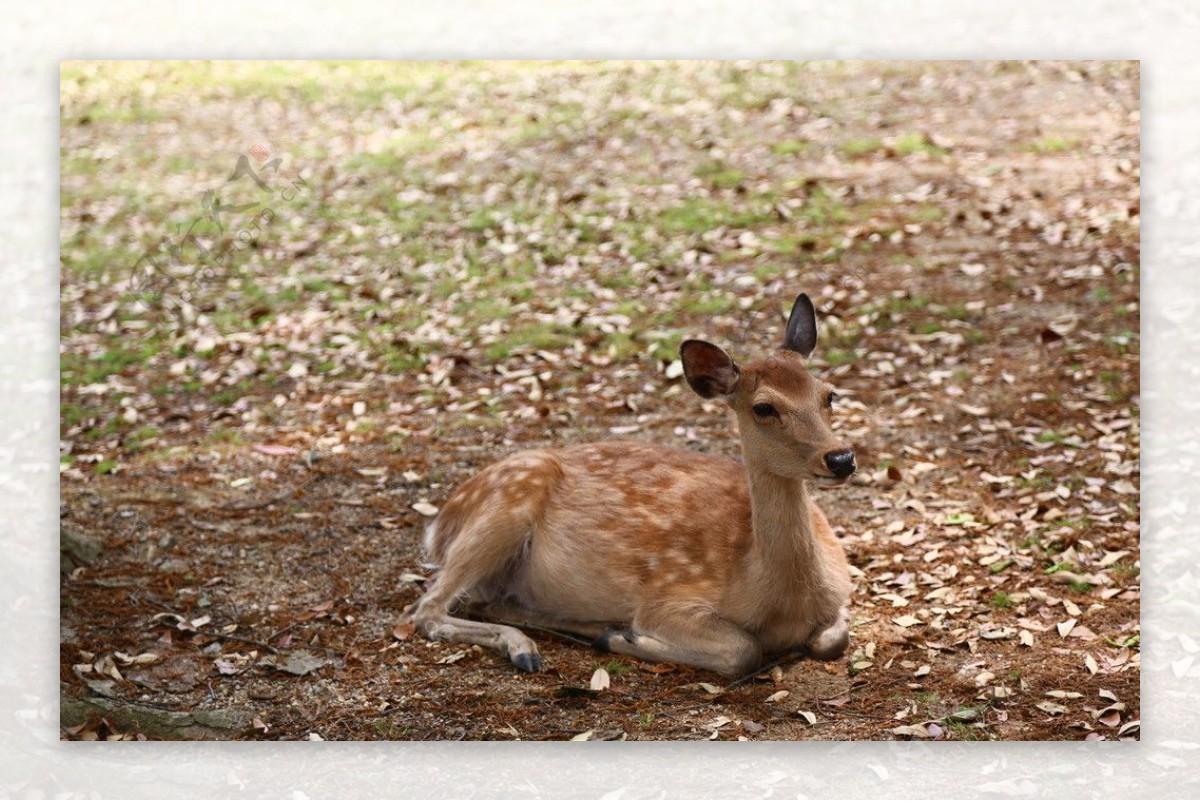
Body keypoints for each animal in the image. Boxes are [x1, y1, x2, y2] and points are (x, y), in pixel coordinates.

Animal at [408, 293, 859, 676]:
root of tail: (438, 528)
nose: (840, 458)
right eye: (764, 407)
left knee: (480, 601)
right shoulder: (666, 598)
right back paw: (532, 647)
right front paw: (626, 637)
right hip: (504, 506)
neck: (782, 602)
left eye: (829, 394)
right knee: (426, 609)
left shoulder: (840, 591)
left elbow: (834, 639)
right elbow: (743, 650)